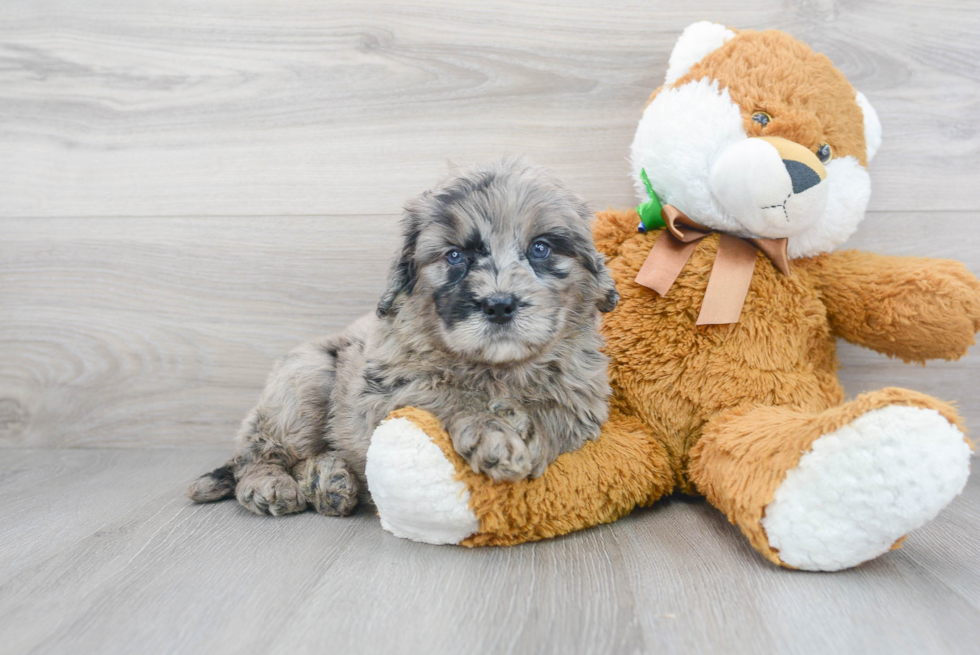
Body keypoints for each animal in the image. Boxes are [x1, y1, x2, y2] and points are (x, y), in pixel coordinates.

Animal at [187, 159, 616, 516]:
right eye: (455, 256)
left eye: (541, 248)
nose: (498, 305)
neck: (495, 367)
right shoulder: (386, 390)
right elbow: (444, 395)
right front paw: (493, 434)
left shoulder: (582, 400)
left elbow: (553, 416)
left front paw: (520, 427)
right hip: (303, 380)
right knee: (259, 452)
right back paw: (272, 485)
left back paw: (330, 483)